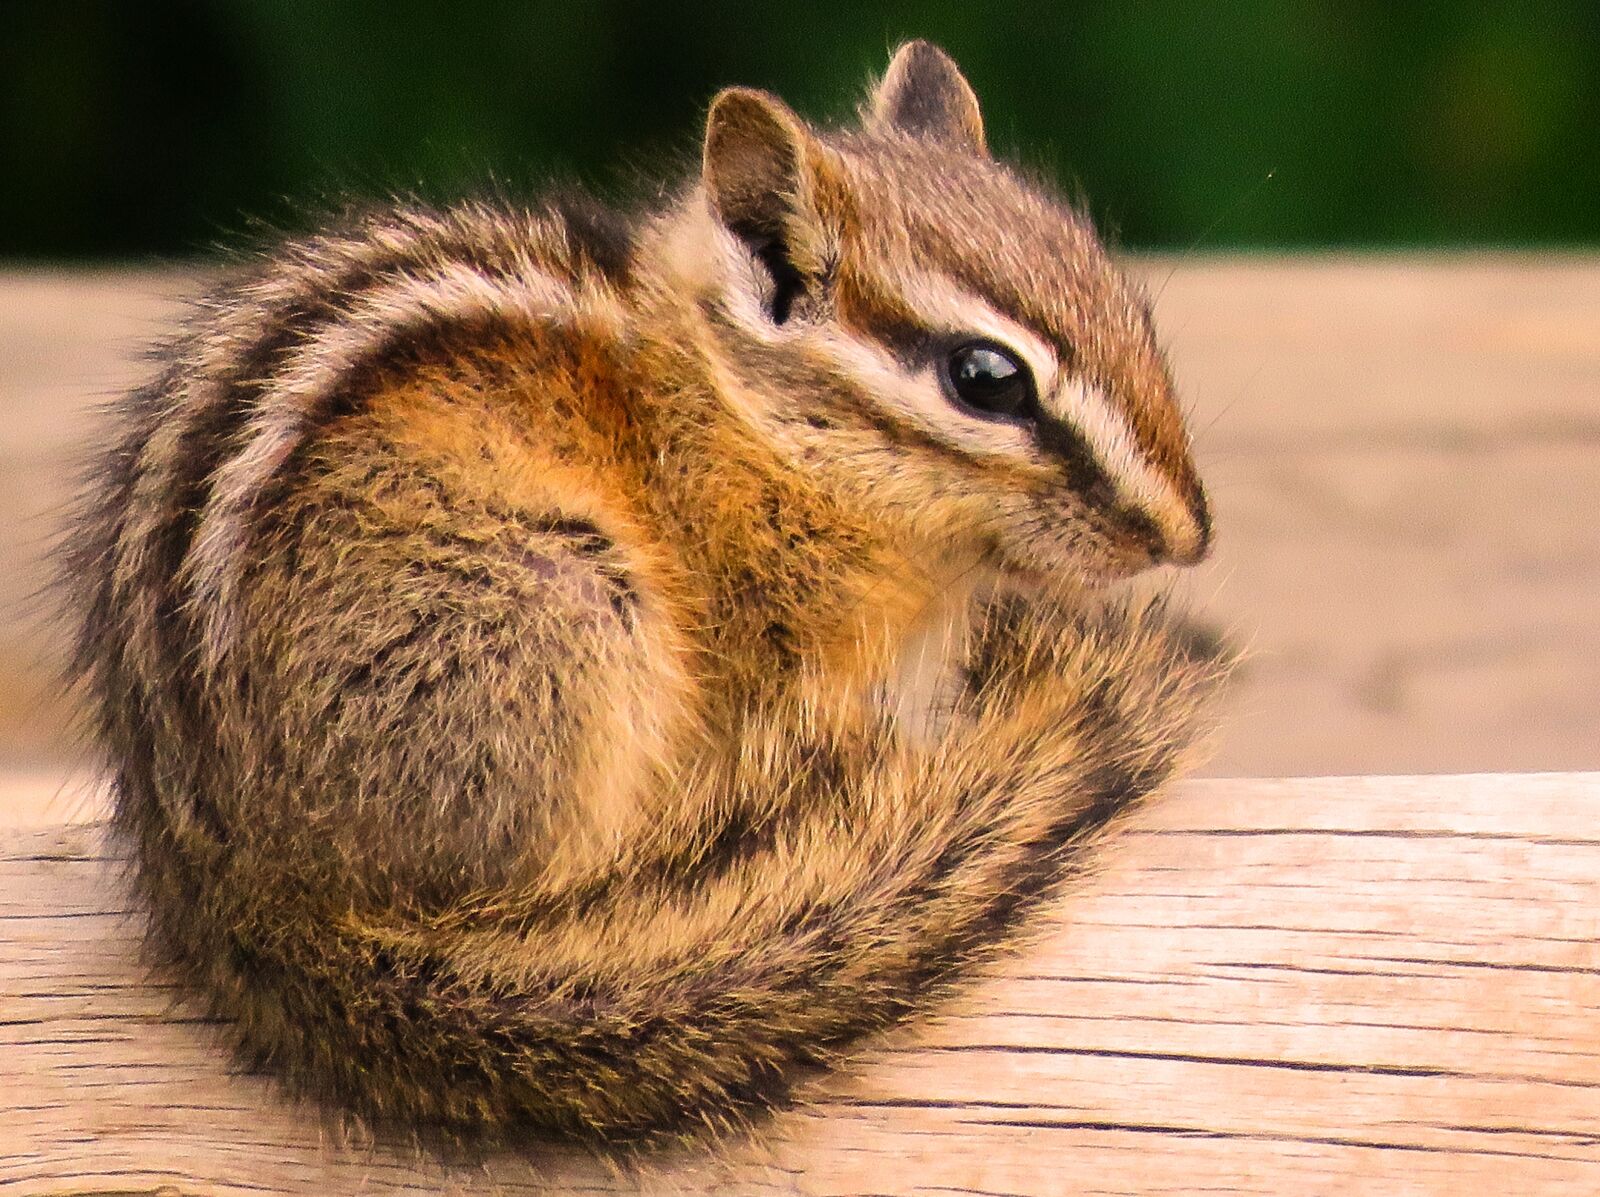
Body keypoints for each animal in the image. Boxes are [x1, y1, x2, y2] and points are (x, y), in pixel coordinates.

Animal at [64, 42, 1228, 1145]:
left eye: (1125, 300)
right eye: (986, 378)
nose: (1187, 532)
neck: (738, 414)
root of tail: (244, 898)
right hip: (559, 611)